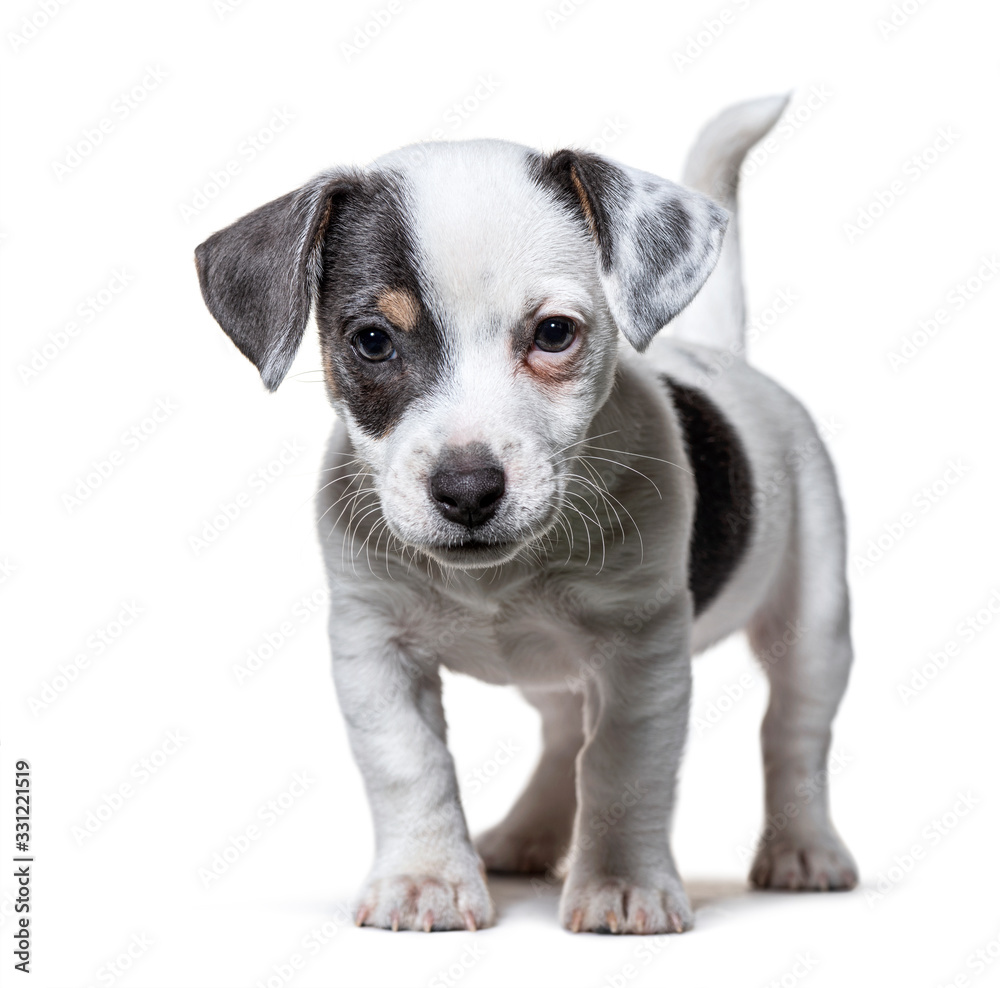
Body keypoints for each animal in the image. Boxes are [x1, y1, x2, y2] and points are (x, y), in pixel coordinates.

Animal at [197, 96, 860, 936]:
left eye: (552, 333)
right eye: (373, 341)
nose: (468, 489)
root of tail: (723, 357)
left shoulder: (642, 653)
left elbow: (621, 767)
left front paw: (622, 884)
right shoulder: (371, 643)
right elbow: (407, 762)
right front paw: (425, 878)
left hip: (814, 616)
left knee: (794, 733)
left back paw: (804, 849)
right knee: (561, 739)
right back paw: (525, 836)